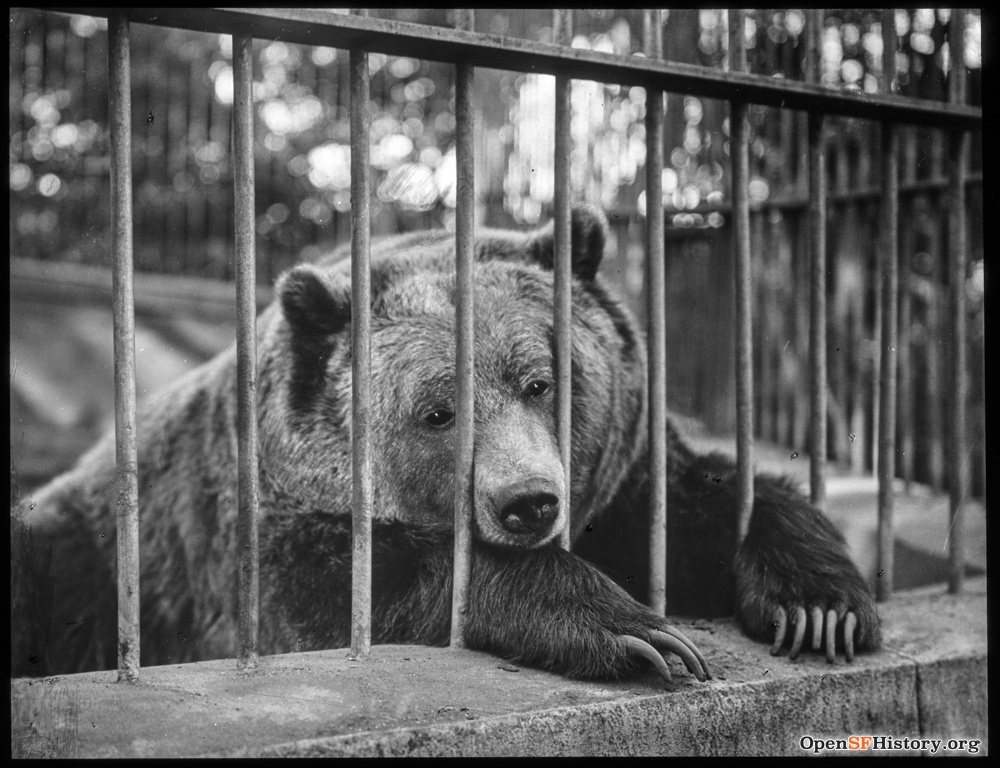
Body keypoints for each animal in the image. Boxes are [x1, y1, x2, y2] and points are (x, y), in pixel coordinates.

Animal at [13, 206, 876, 684]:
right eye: (436, 412)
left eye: (541, 382)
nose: (529, 502)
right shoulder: (269, 524)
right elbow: (364, 591)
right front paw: (638, 632)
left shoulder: (623, 480)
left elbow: (710, 500)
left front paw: (819, 607)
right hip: (83, 563)